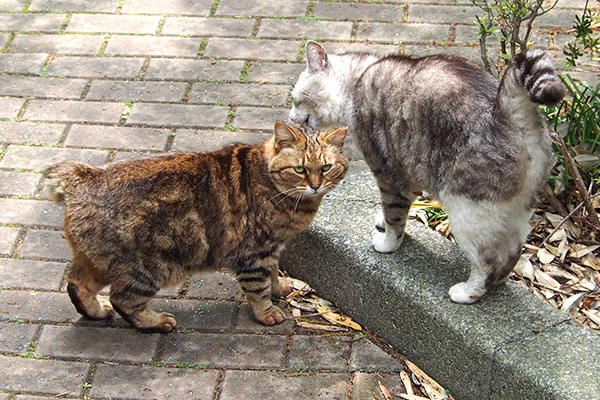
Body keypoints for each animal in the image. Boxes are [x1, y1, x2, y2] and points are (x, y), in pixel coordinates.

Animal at [45, 121, 346, 332]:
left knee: (77, 284)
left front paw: (280, 288)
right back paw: (156, 322)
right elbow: (258, 288)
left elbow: (271, 275)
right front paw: (267, 312)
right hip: (149, 268)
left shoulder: (271, 250)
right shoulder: (255, 253)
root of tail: (85, 176)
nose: (315, 185)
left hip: (97, 262)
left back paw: (96, 311)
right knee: (123, 299)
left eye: (327, 167)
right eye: (300, 169)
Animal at [290, 41, 564, 304]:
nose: (291, 117)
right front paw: (382, 221)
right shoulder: (408, 175)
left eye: (295, 99)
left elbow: (395, 218)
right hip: (517, 211)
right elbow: (394, 211)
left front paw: (387, 244)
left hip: (468, 211)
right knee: (513, 252)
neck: (358, 79)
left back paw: (468, 292)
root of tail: (506, 112)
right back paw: (499, 280)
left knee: (490, 260)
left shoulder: (388, 174)